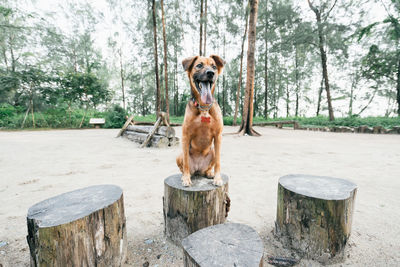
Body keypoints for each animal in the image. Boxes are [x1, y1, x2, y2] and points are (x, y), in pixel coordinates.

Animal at [177, 55, 227, 187]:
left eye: (214, 66)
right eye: (199, 65)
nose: (210, 73)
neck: (204, 107)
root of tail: (198, 169)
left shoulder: (218, 136)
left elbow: (218, 162)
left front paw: (217, 178)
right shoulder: (185, 136)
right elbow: (186, 163)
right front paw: (186, 178)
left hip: (213, 151)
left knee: (208, 167)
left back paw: (209, 173)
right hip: (179, 155)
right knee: (184, 165)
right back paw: (185, 175)